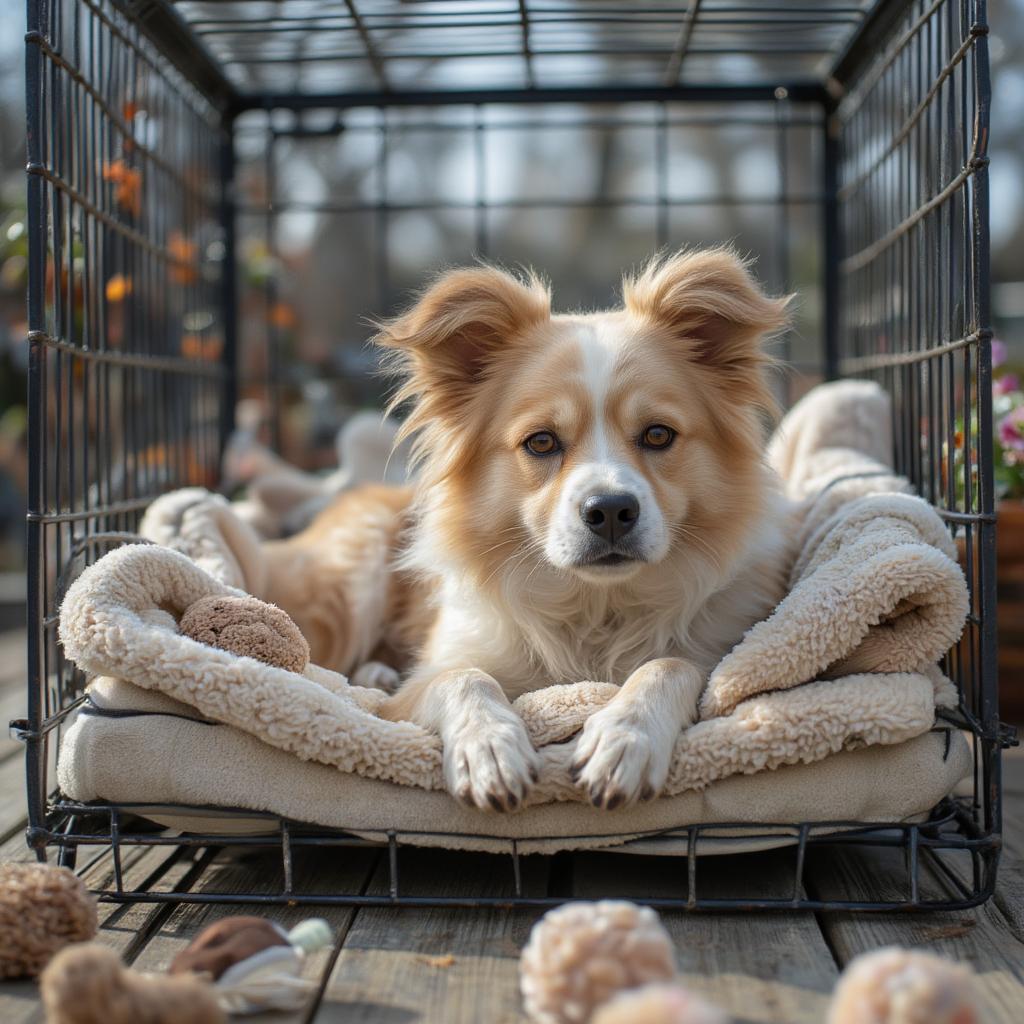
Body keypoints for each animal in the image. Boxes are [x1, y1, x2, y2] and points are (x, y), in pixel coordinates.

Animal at [260, 245, 794, 806]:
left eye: (657, 435)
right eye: (541, 442)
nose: (610, 510)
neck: (595, 606)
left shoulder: (718, 651)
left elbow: (671, 665)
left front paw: (626, 737)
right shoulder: (420, 685)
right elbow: (463, 677)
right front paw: (489, 749)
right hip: (352, 579)